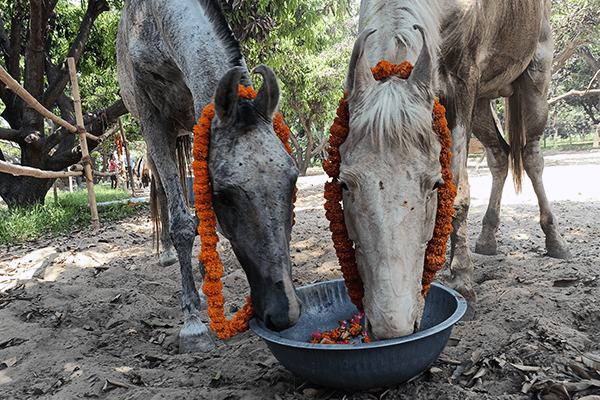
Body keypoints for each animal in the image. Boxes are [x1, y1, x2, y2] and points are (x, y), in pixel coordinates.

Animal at [116, 0, 300, 354]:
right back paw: (168, 256)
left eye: (293, 180)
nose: (285, 313)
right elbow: (182, 223)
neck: (155, 25)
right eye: (224, 195)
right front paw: (192, 324)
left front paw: (204, 285)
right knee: (163, 191)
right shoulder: (151, 120)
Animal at [340, 0, 568, 340]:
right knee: (500, 154)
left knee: (531, 157)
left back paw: (555, 240)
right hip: (484, 102)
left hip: (536, 78)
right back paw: (487, 237)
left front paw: (463, 283)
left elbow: (458, 194)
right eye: (344, 183)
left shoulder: (463, 84)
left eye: (434, 184)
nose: (390, 325)